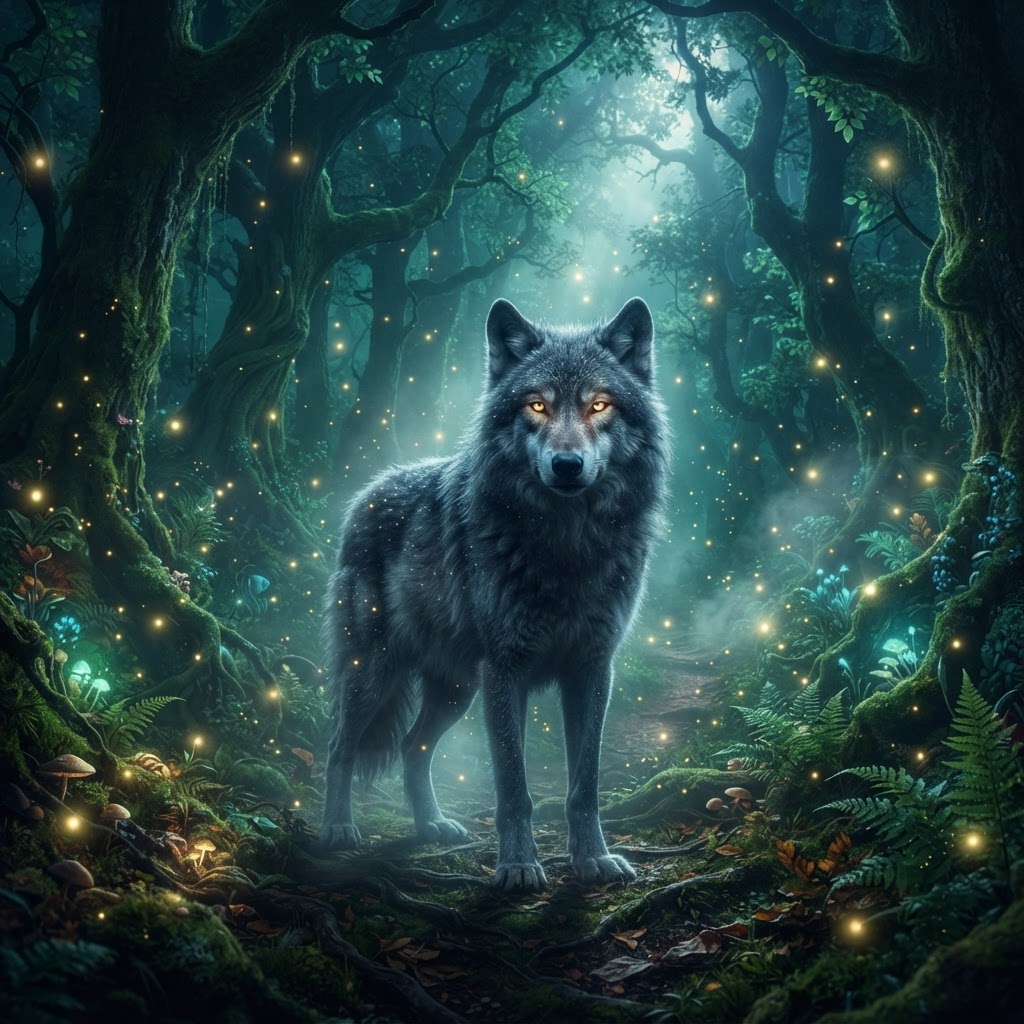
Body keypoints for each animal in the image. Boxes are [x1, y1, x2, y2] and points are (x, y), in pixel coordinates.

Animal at [319, 296, 669, 891]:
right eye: (537, 405)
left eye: (599, 404)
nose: (567, 465)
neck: (566, 548)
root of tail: (367, 491)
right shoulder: (506, 670)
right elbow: (513, 786)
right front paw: (519, 866)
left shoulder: (592, 668)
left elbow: (585, 785)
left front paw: (594, 860)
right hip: (378, 674)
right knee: (339, 744)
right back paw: (338, 830)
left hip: (456, 689)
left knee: (413, 749)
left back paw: (432, 826)